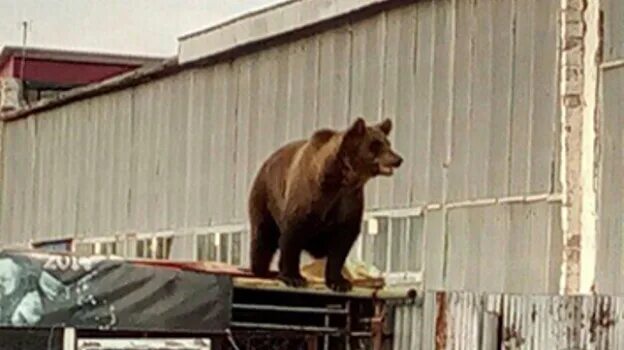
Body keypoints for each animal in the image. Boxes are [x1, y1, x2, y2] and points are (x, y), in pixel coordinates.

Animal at [246, 117, 402, 292]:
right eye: (375, 144)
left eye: (388, 143)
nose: (398, 159)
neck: (342, 180)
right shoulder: (309, 198)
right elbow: (292, 235)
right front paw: (293, 277)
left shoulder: (349, 202)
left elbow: (342, 242)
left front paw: (339, 282)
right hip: (264, 195)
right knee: (263, 236)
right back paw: (262, 270)